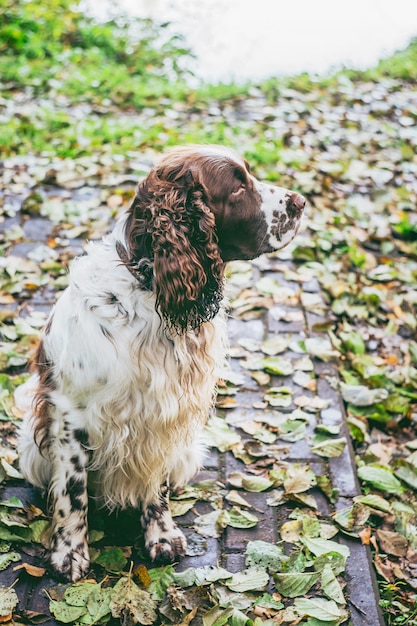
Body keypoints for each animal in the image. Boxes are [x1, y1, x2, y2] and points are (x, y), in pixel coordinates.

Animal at [16, 144, 304, 576]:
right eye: (238, 187)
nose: (301, 202)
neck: (148, 292)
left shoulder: (166, 415)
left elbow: (157, 485)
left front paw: (162, 535)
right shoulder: (70, 413)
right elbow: (72, 490)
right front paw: (69, 552)